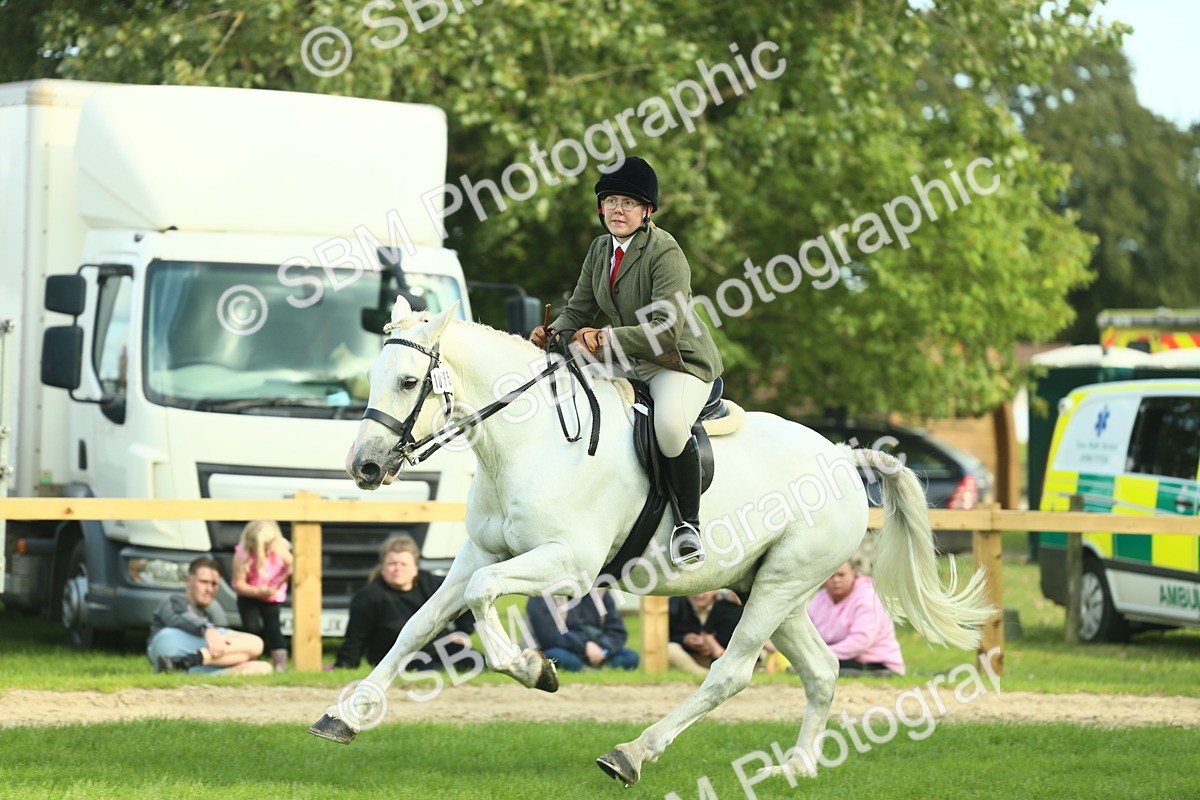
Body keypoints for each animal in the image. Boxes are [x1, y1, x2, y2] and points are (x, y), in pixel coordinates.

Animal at [309, 297, 993, 786]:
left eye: (406, 381)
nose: (364, 467)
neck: (525, 444)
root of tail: (845, 458)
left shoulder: (568, 566)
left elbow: (481, 597)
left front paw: (533, 670)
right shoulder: (480, 554)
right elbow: (418, 624)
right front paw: (344, 715)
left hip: (781, 585)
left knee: (730, 673)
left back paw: (632, 753)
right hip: (774, 588)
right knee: (822, 671)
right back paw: (795, 768)